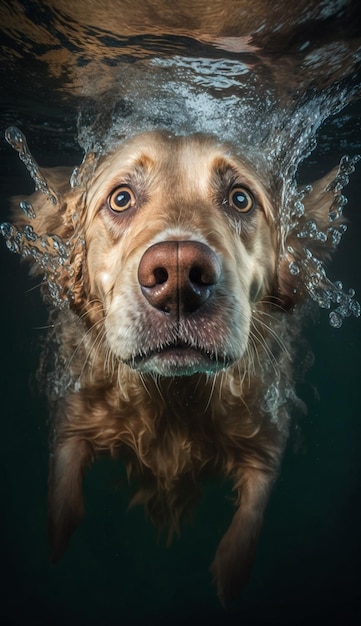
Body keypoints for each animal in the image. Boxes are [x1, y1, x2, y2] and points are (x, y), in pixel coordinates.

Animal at [3, 128, 346, 604]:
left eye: (240, 199)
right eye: (121, 199)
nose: (181, 272)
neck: (174, 398)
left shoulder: (266, 430)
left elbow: (251, 514)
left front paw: (230, 575)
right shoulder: (73, 407)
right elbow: (63, 490)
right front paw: (56, 544)